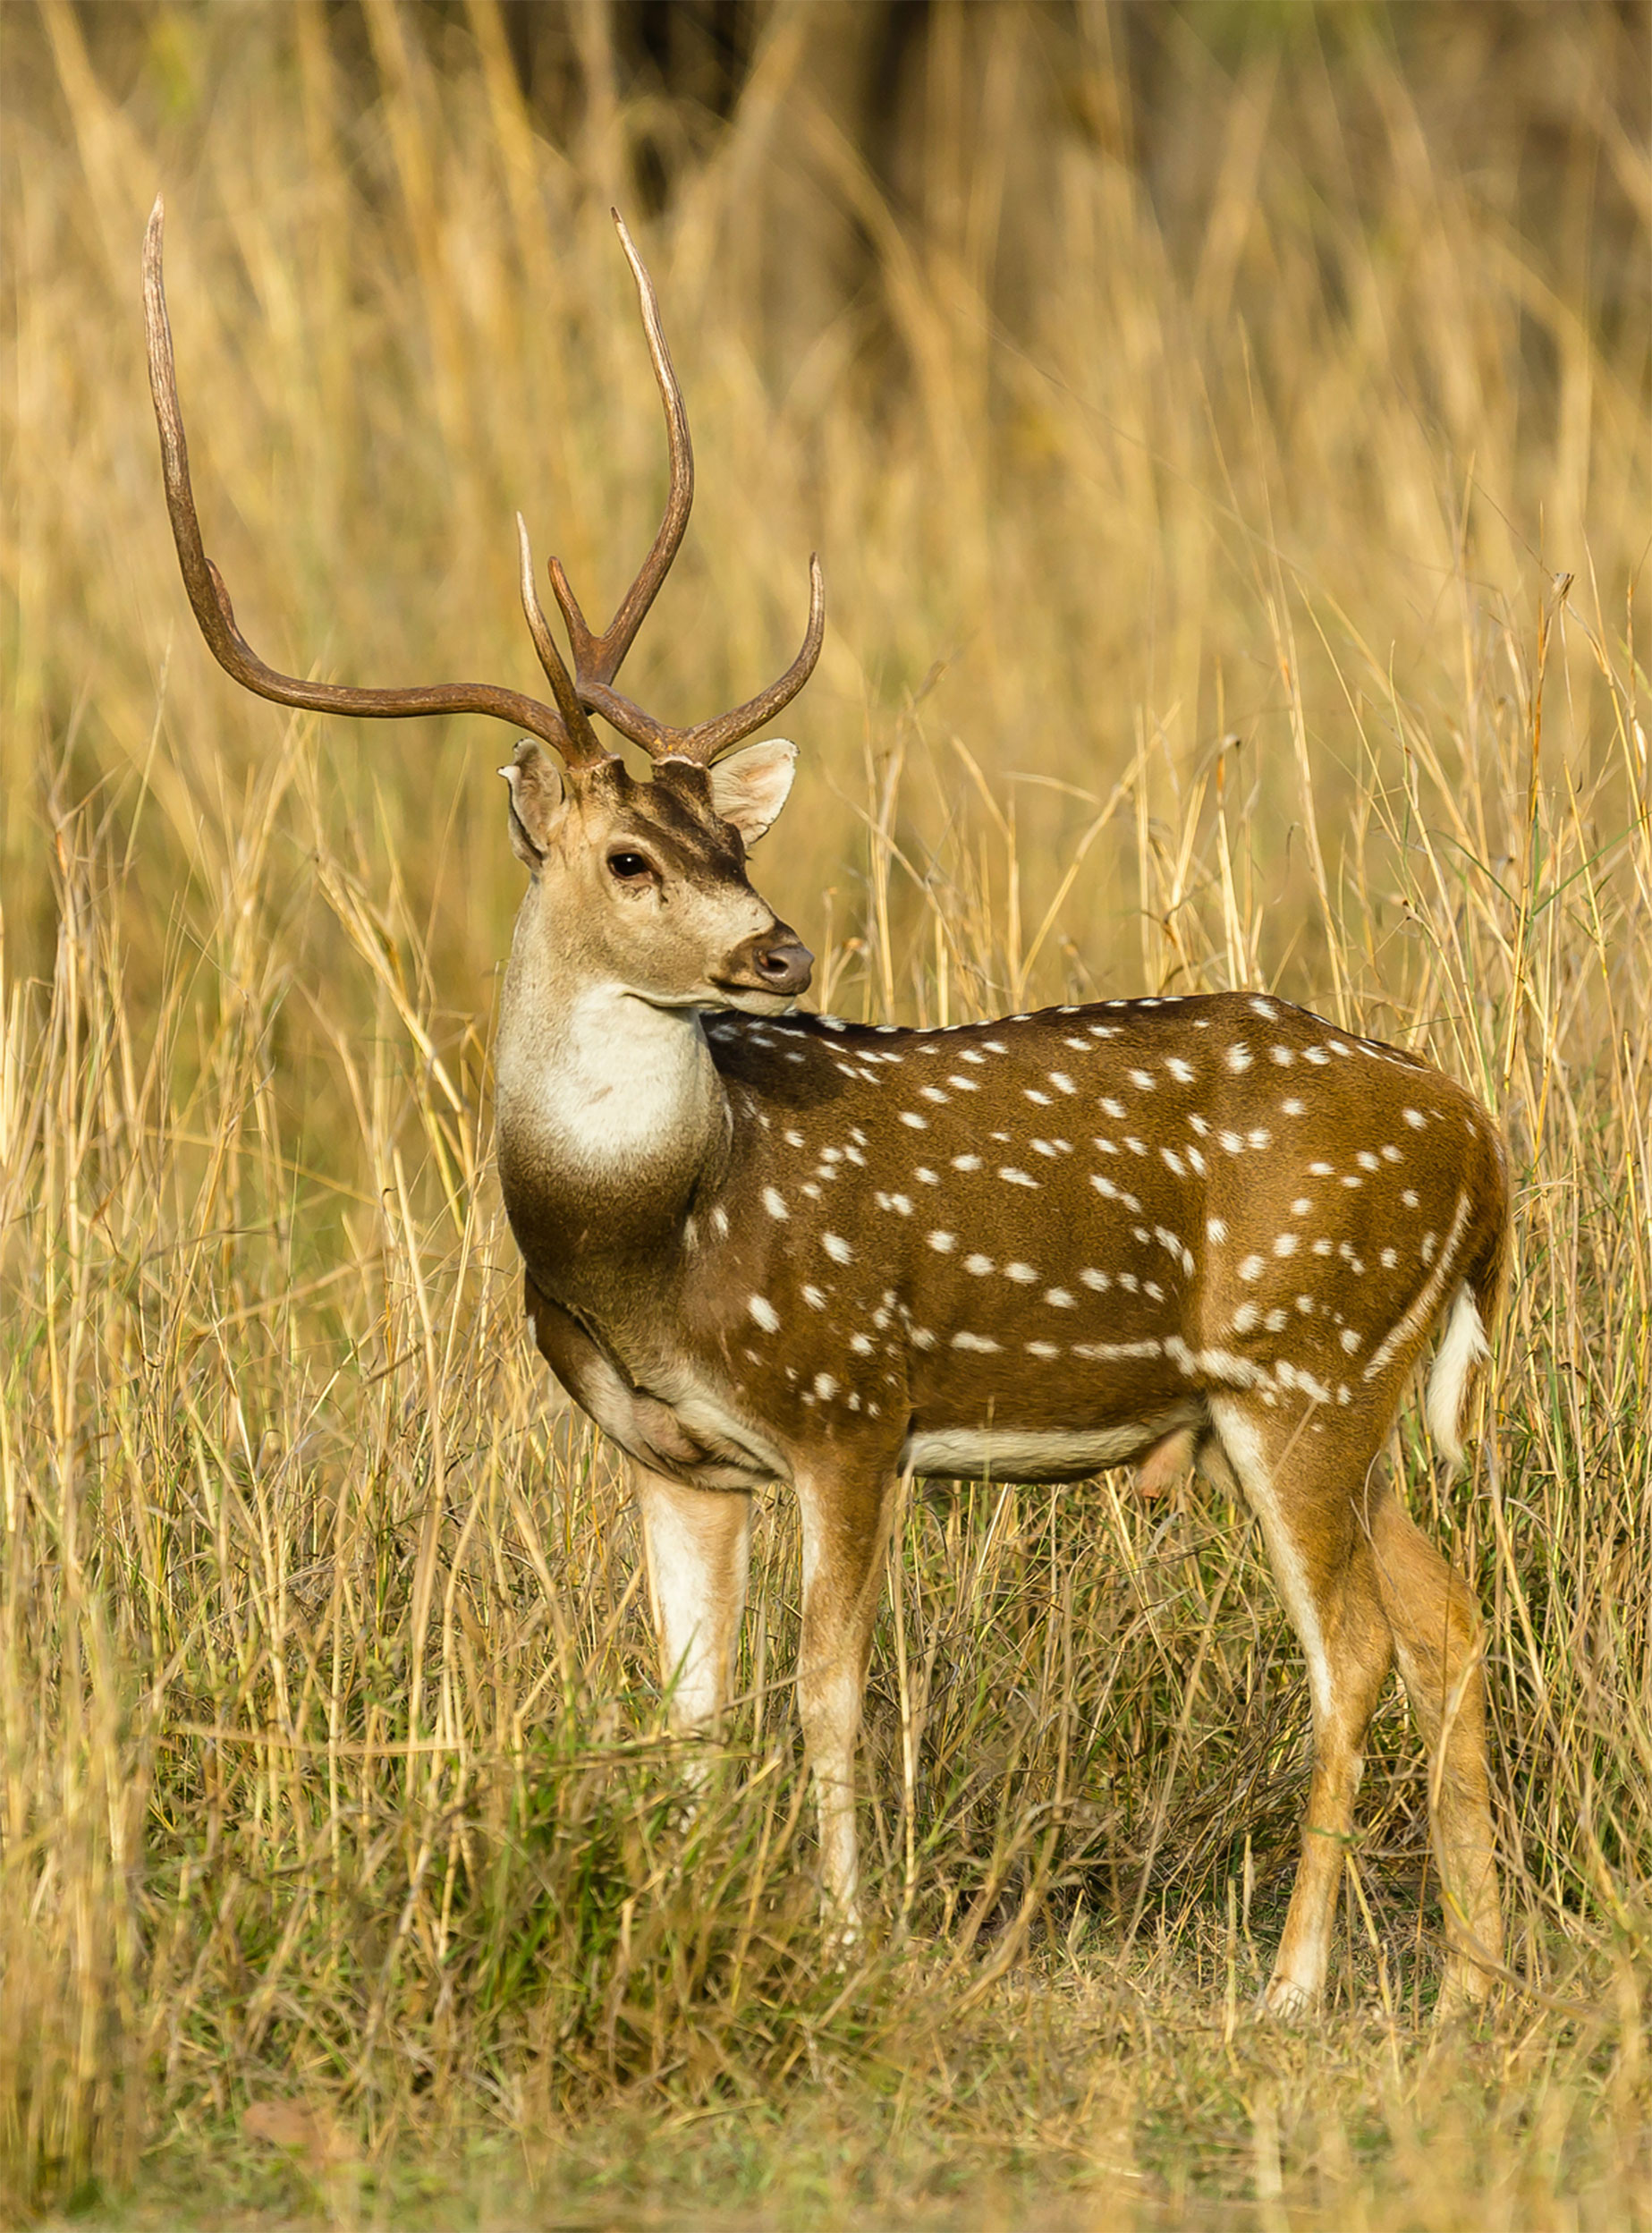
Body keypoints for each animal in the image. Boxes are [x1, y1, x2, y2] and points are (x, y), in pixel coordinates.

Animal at [148, 196, 1500, 2009]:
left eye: (733, 835)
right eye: (632, 855)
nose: (777, 951)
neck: (652, 1243)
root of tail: (1479, 1141)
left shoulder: (853, 1404)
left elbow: (829, 1694)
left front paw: (852, 1941)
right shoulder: (668, 1456)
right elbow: (689, 1715)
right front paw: (676, 1905)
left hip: (1300, 1360)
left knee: (1350, 1644)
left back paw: (1290, 1987)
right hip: (1316, 1397)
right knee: (1444, 1620)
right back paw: (1476, 1975)